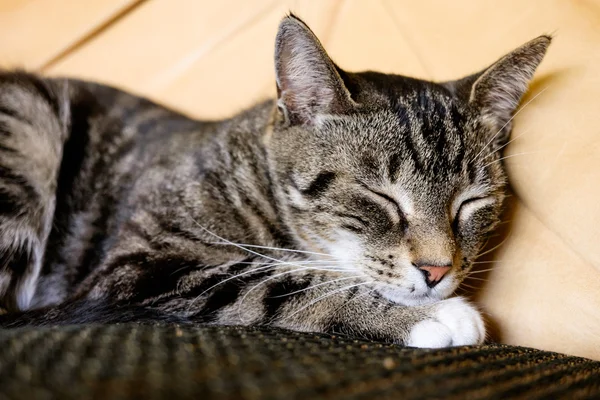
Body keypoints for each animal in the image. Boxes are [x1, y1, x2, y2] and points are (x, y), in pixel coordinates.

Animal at [0, 15, 548, 346]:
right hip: (28, 127)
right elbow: (269, 282)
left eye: (470, 203)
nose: (437, 270)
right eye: (380, 196)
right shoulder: (144, 263)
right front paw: (430, 317)